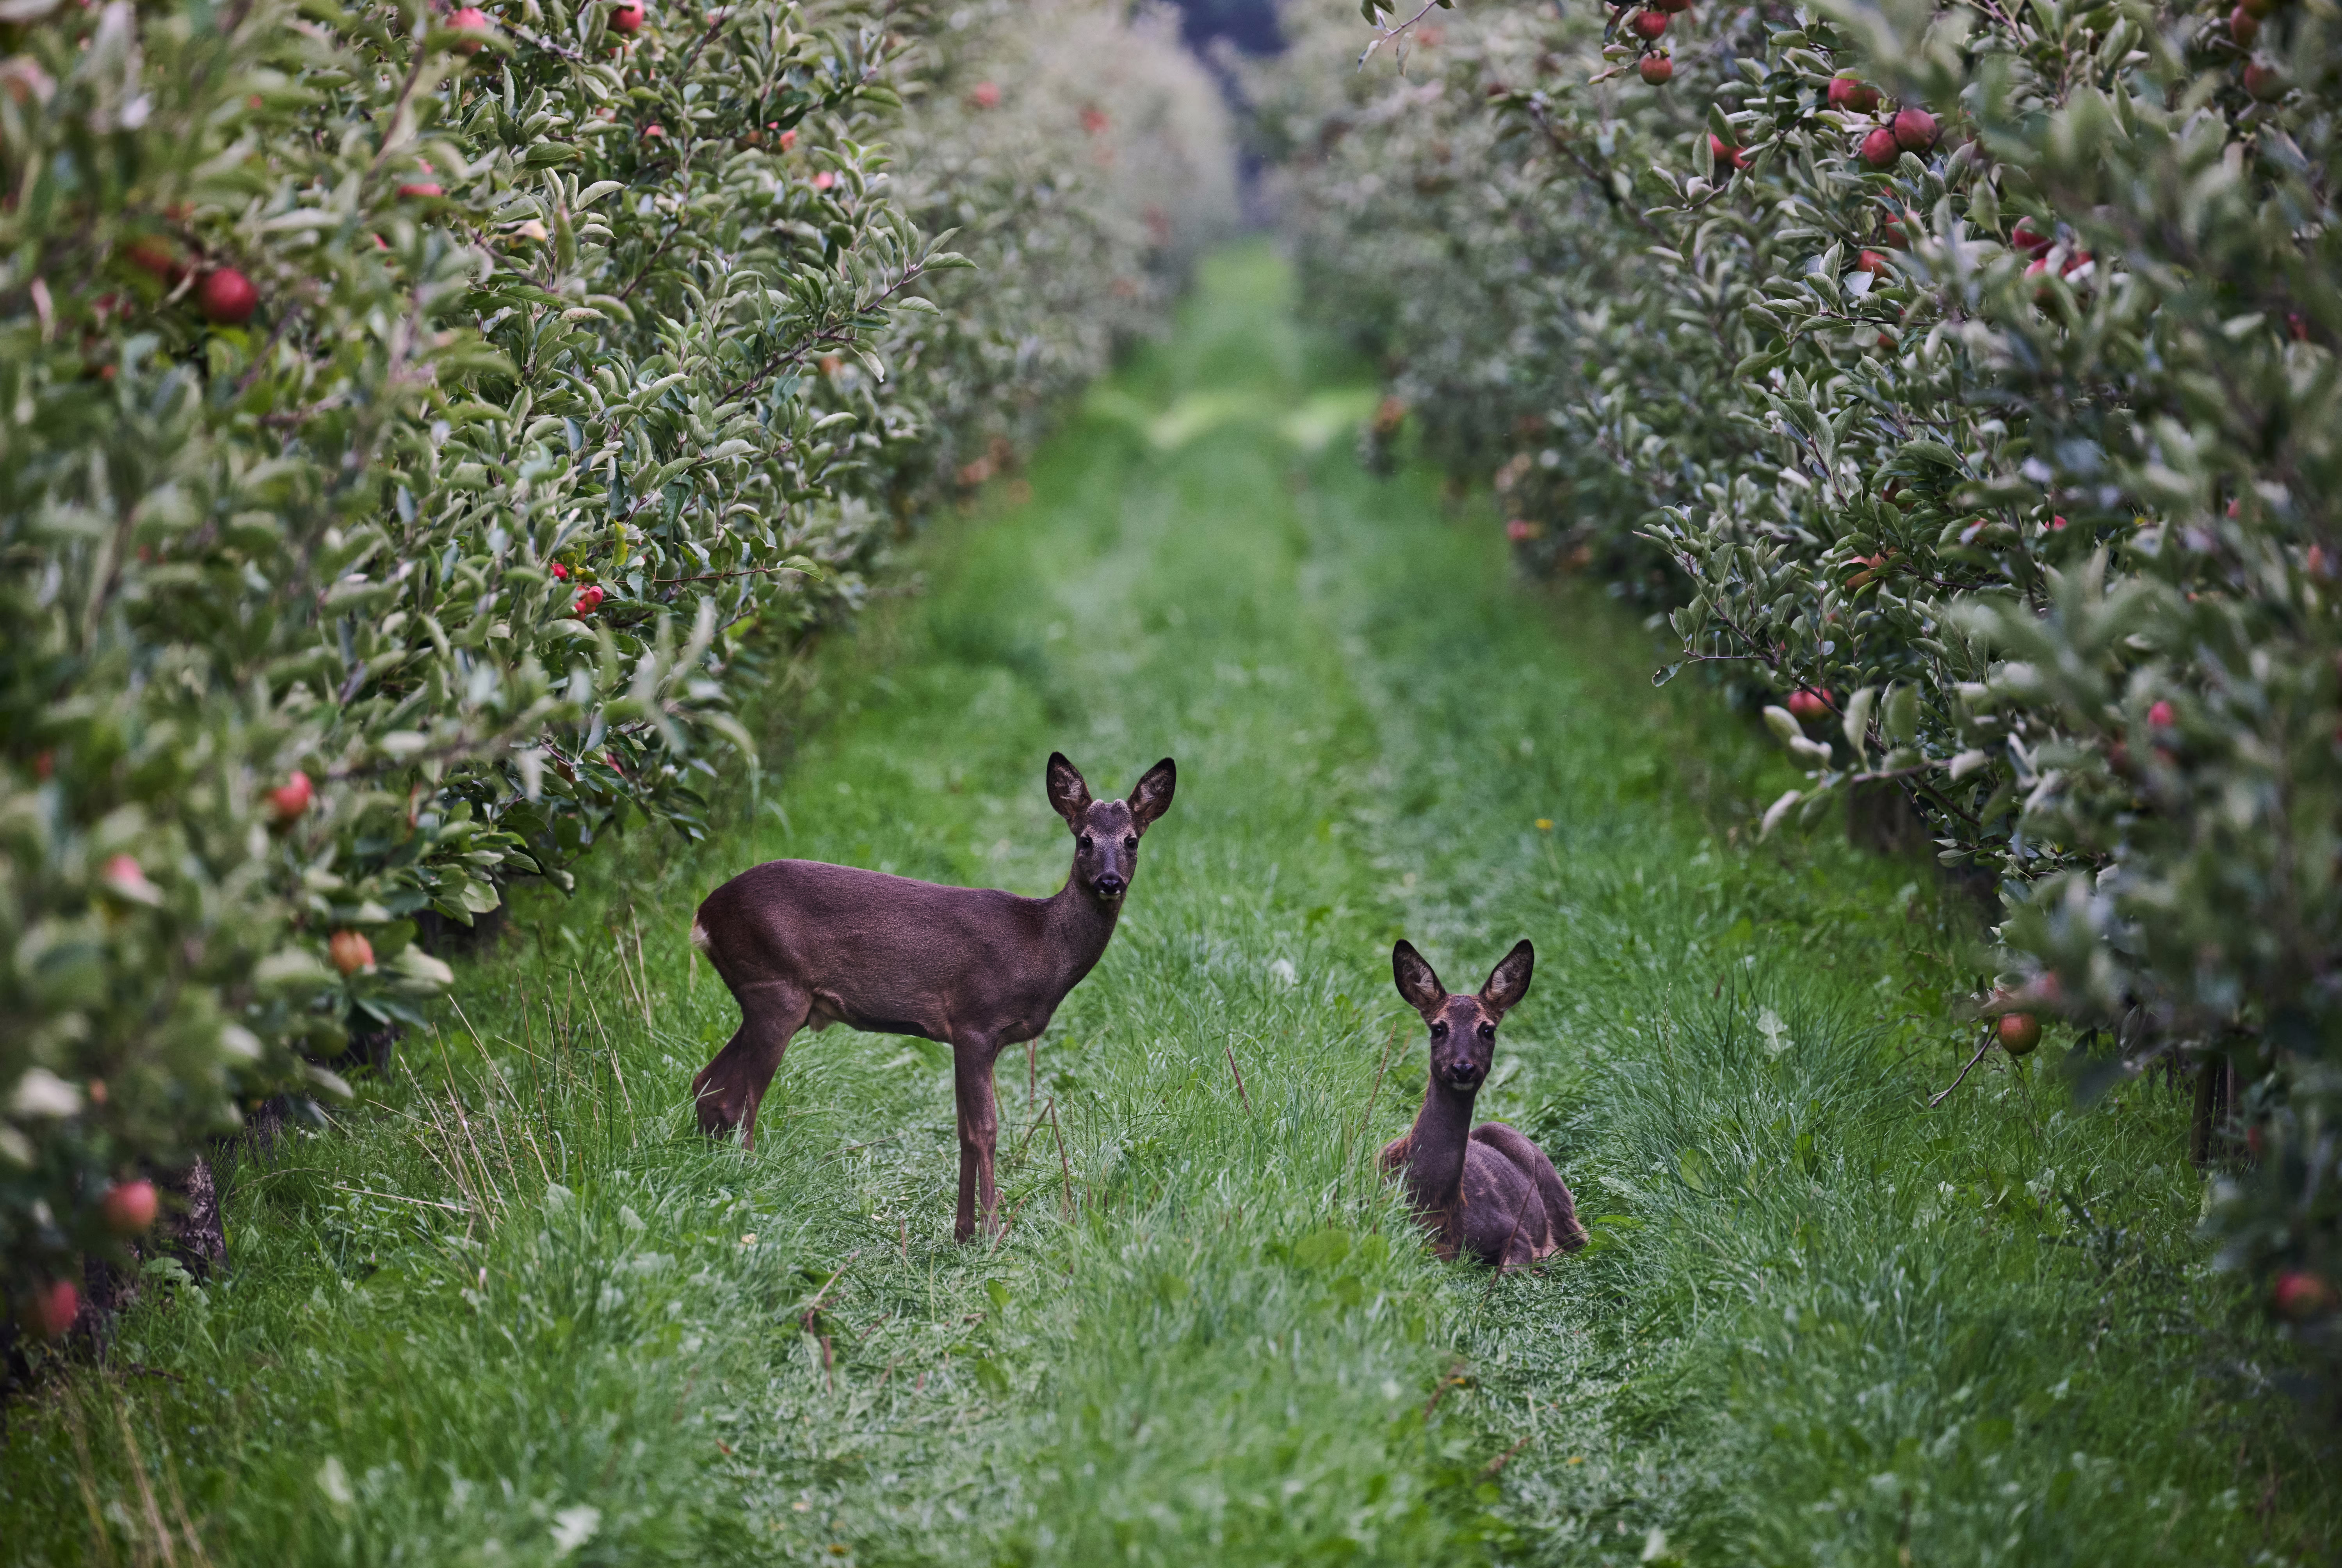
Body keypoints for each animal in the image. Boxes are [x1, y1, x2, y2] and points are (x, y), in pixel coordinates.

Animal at [688, 752, 1175, 1242]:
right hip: (776, 989)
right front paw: (992, 1232)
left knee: (706, 1082)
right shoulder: (976, 1021)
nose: (1110, 881)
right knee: (738, 1099)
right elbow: (984, 1130)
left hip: (768, 999)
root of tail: (703, 916)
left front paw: (962, 1232)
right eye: (1085, 840)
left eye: (1132, 840)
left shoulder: (969, 1036)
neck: (1041, 947)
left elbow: (963, 1130)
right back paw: (751, 1182)